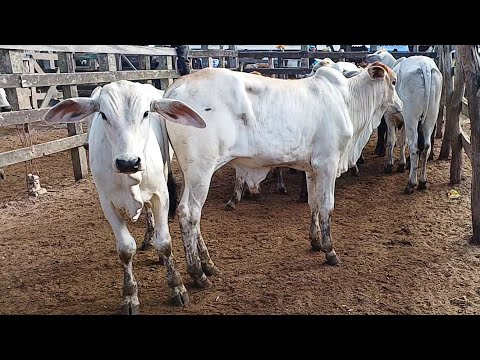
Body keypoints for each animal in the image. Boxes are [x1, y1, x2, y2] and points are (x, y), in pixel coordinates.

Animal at [42, 80, 205, 314]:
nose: (128, 162)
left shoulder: (161, 194)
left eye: (146, 113)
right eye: (103, 114)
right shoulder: (106, 201)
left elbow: (165, 242)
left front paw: (177, 287)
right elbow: (126, 249)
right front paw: (130, 296)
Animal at [364, 50, 442, 194]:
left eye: (377, 53)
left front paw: (389, 165)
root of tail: (425, 66)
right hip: (430, 116)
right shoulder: (404, 121)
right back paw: (422, 181)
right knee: (426, 147)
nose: (365, 57)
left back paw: (411, 183)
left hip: (412, 117)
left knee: (414, 147)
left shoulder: (389, 116)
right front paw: (401, 164)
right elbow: (402, 141)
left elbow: (391, 141)